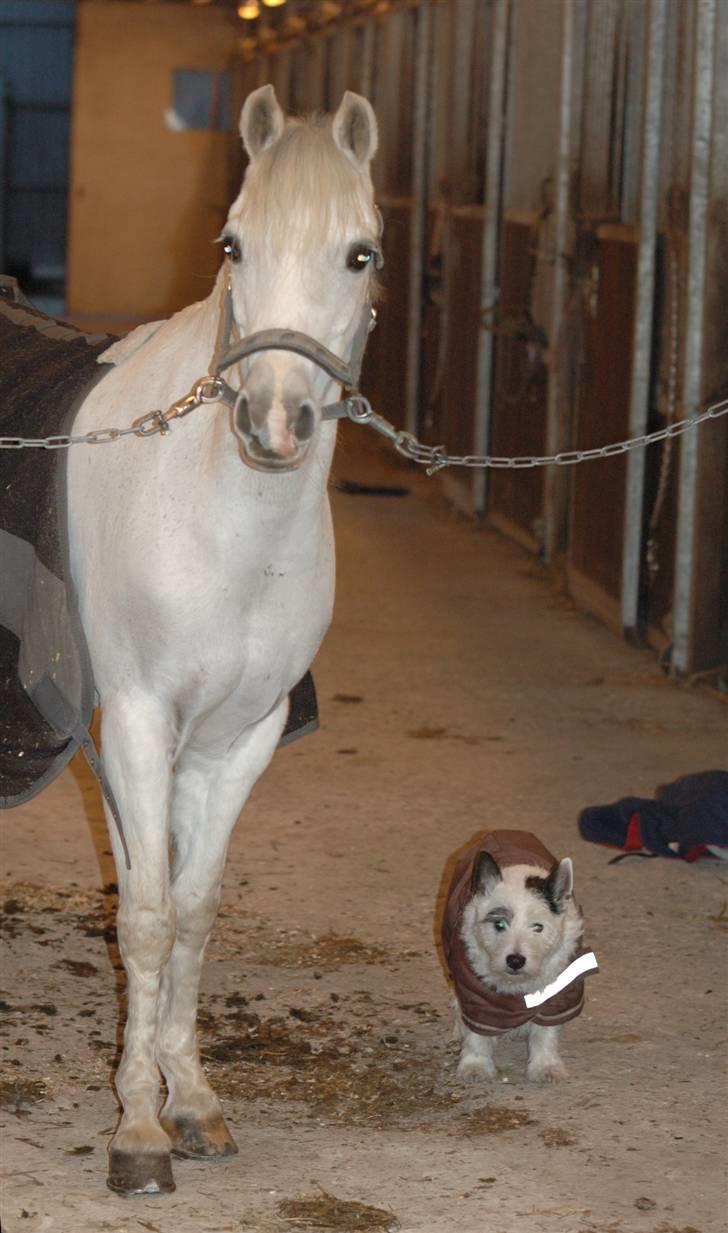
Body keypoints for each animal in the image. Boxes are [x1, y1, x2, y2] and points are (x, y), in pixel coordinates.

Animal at [68, 86, 382, 1193]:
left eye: (361, 254)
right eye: (233, 243)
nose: (273, 420)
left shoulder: (234, 743)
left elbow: (191, 912)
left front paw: (189, 1100)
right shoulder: (136, 726)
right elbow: (147, 916)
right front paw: (136, 1130)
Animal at [439, 833, 599, 1085]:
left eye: (538, 927)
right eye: (499, 924)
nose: (515, 961)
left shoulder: (559, 991)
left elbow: (546, 1031)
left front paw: (546, 1066)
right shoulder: (475, 991)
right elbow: (476, 1030)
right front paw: (475, 1064)